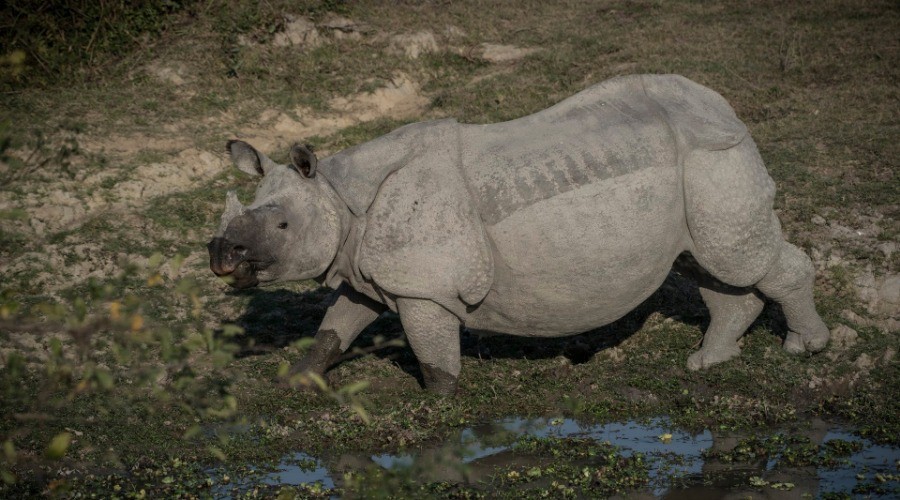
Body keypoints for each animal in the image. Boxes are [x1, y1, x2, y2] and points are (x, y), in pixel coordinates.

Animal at [208, 74, 829, 395]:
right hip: (695, 164)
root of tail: (726, 106)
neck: (338, 193)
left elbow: (432, 349)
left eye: (282, 225)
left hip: (714, 153)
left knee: (739, 259)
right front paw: (295, 381)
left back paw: (806, 349)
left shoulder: (423, 283)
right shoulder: (365, 267)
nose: (219, 252)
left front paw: (438, 404)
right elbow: (336, 326)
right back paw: (708, 362)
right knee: (708, 264)